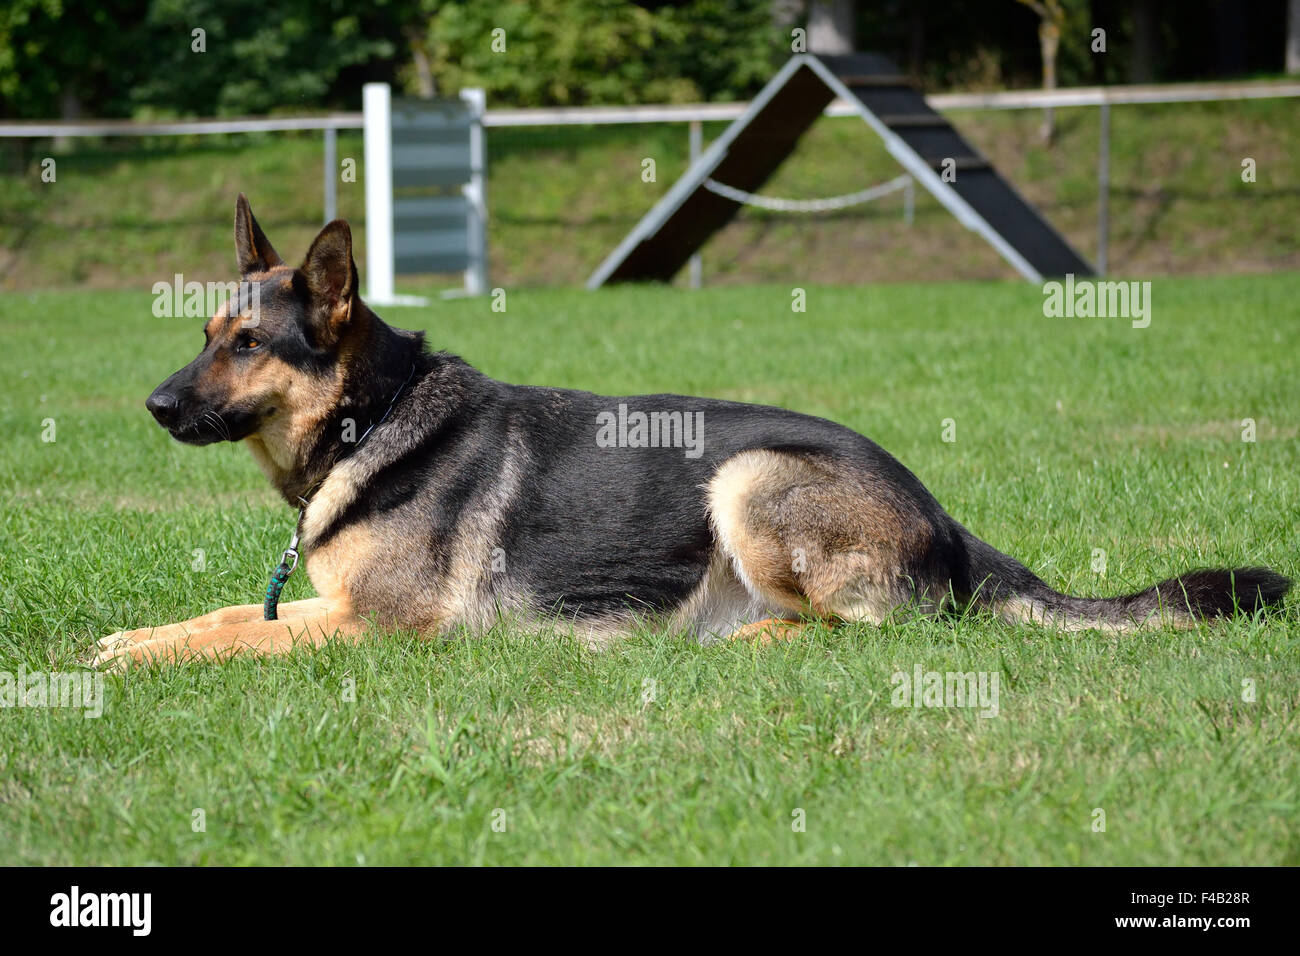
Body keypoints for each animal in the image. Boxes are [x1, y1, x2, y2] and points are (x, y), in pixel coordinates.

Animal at [91, 196, 1289, 665]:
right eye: (206, 333)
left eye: (249, 344)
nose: (152, 406)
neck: (371, 418)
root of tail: (945, 518)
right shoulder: (333, 607)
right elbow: (218, 616)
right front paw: (126, 639)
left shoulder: (380, 626)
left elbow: (238, 637)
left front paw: (140, 655)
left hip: (749, 477)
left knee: (866, 629)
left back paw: (727, 645)